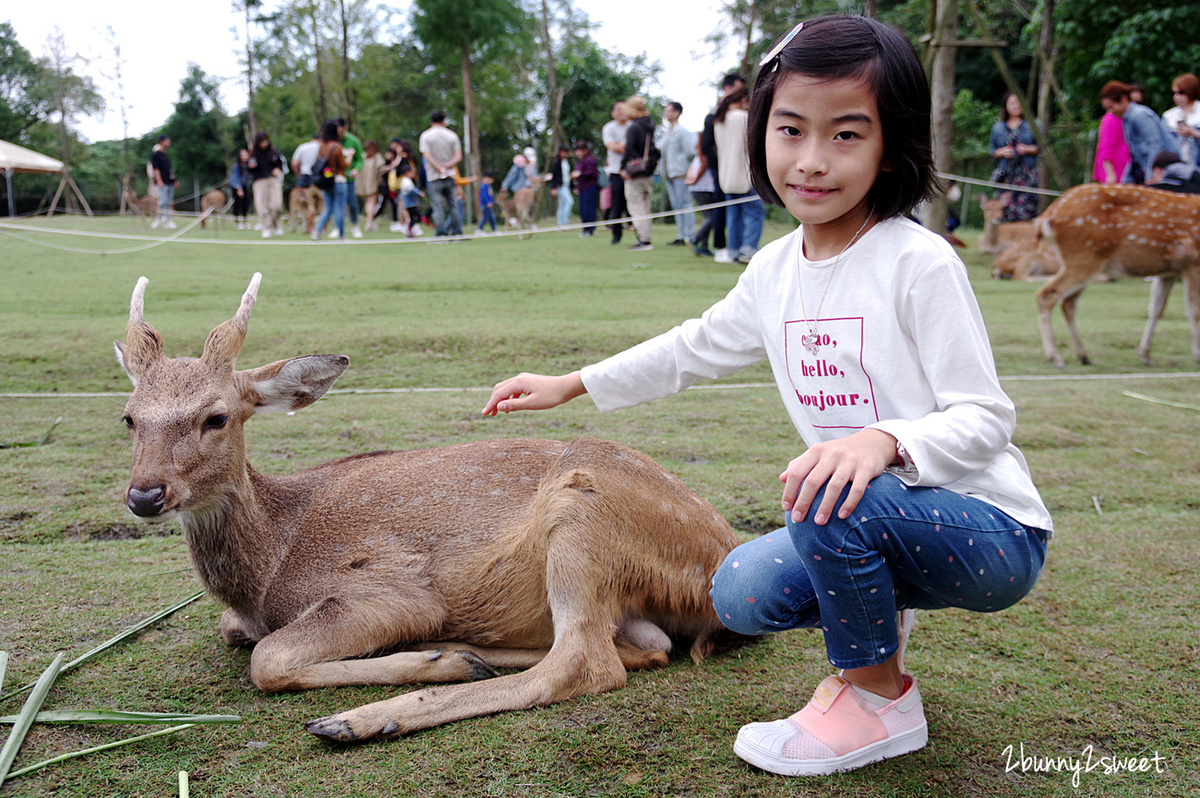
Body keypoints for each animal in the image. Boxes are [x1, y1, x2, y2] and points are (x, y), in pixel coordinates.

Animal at [114, 271, 748, 739]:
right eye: (128, 417)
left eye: (217, 417)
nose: (145, 494)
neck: (266, 569)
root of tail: (718, 570)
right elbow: (233, 633)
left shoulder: (390, 591)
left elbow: (266, 658)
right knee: (644, 649)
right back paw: (458, 653)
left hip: (584, 508)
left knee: (585, 663)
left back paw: (366, 717)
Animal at [1032, 182, 1200, 364]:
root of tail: (1047, 216)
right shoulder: (1193, 262)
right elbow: (1194, 310)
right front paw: (1197, 355)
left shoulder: (1169, 271)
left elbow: (1156, 309)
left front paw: (1145, 355)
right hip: (1084, 257)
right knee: (1046, 294)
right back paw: (1055, 357)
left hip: (1080, 261)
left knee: (1068, 303)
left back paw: (1083, 356)